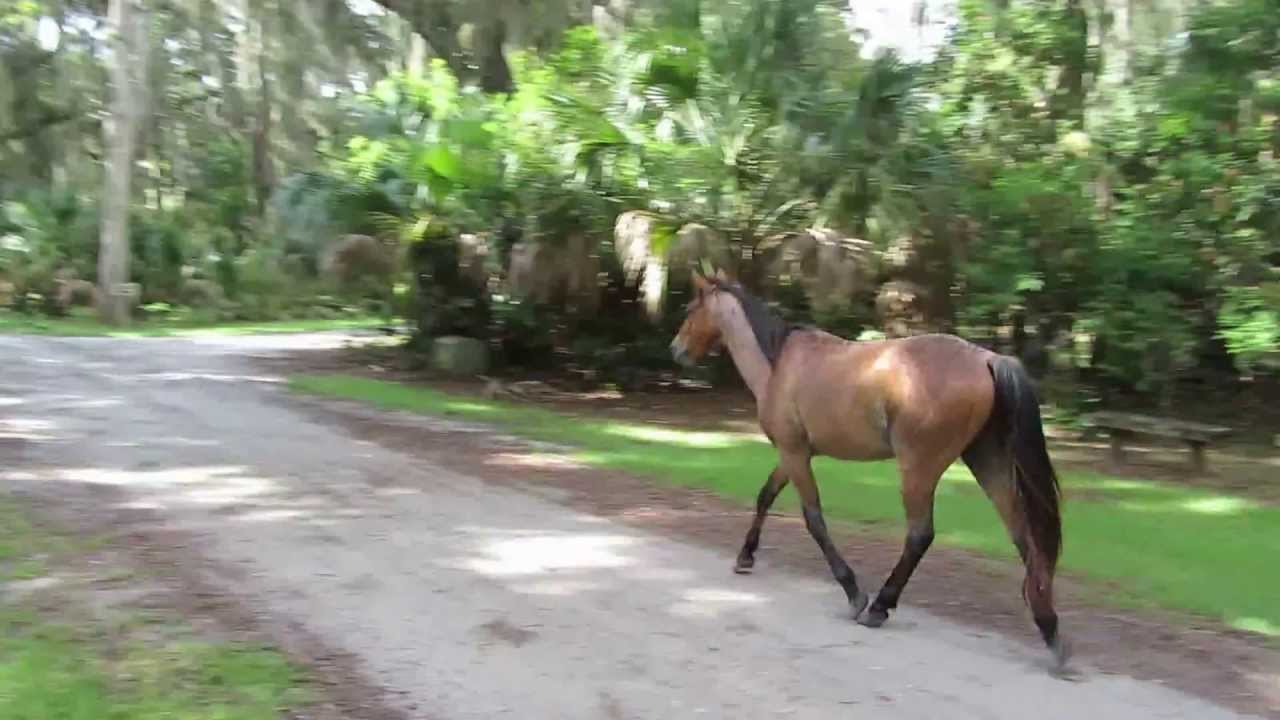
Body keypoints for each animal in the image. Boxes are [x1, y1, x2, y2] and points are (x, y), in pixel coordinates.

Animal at [669, 270, 1068, 669]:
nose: (676, 350)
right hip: (987, 463)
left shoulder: (795, 453)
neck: (777, 365)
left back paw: (879, 606)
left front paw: (853, 592)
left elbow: (813, 519)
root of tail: (987, 359)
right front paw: (745, 556)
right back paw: (1049, 628)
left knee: (921, 535)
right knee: (1023, 536)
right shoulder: (792, 453)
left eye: (690, 308)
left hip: (919, 469)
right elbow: (765, 495)